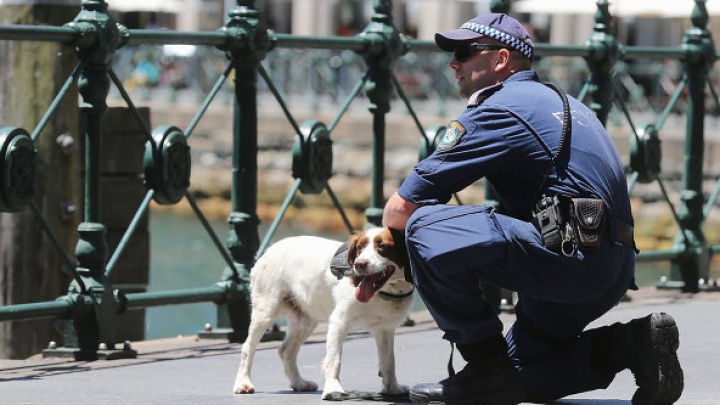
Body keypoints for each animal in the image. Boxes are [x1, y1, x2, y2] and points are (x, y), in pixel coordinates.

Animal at [235, 227, 416, 398]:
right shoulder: (339, 321)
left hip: (305, 321)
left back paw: (299, 382)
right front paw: (333, 390)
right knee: (248, 347)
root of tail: (269, 250)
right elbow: (334, 359)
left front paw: (393, 388)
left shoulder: (385, 328)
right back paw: (243, 383)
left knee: (286, 351)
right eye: (360, 247)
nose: (359, 264)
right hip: (265, 311)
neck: (384, 293)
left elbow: (389, 361)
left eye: (383, 246)